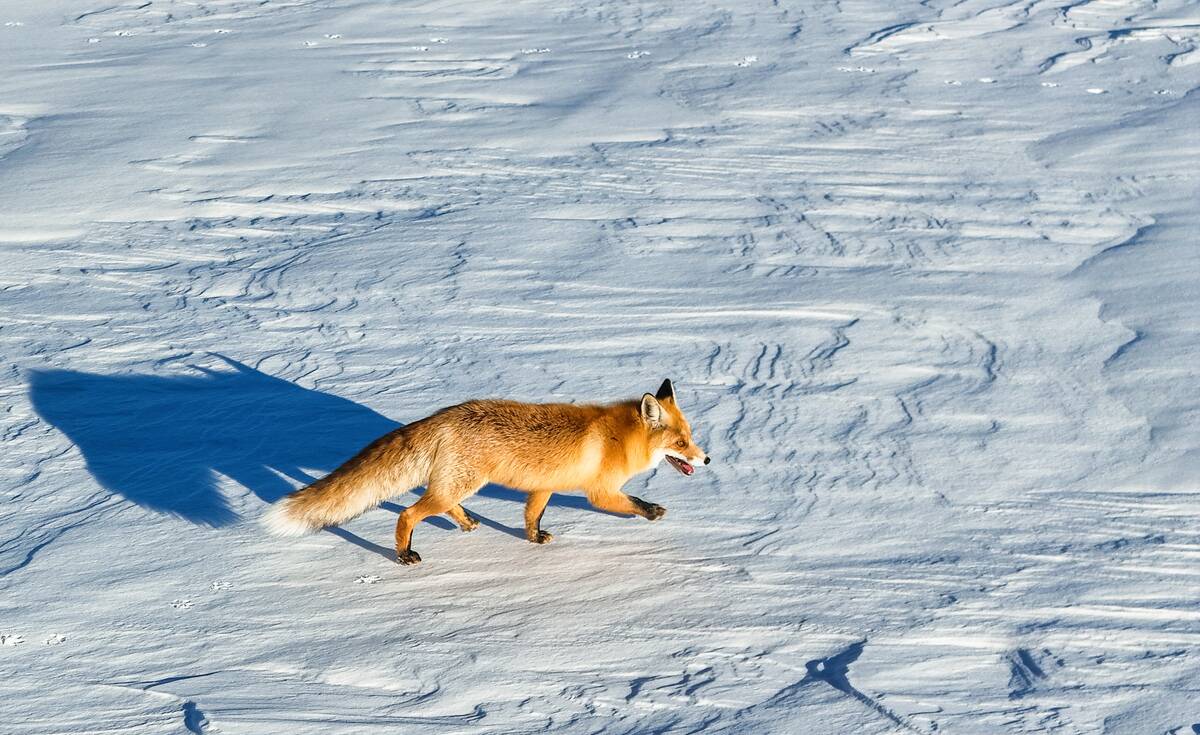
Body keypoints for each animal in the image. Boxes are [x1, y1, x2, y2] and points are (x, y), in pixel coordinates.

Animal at [263, 379, 709, 565]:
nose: (707, 460)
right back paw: (404, 554)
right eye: (681, 443)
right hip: (461, 483)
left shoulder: (543, 487)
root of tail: (442, 416)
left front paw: (534, 539)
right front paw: (653, 512)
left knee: (441, 506)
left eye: (691, 437)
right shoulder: (599, 492)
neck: (618, 437)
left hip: (459, 485)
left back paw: (466, 523)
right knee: (409, 513)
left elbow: (532, 516)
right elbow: (633, 502)